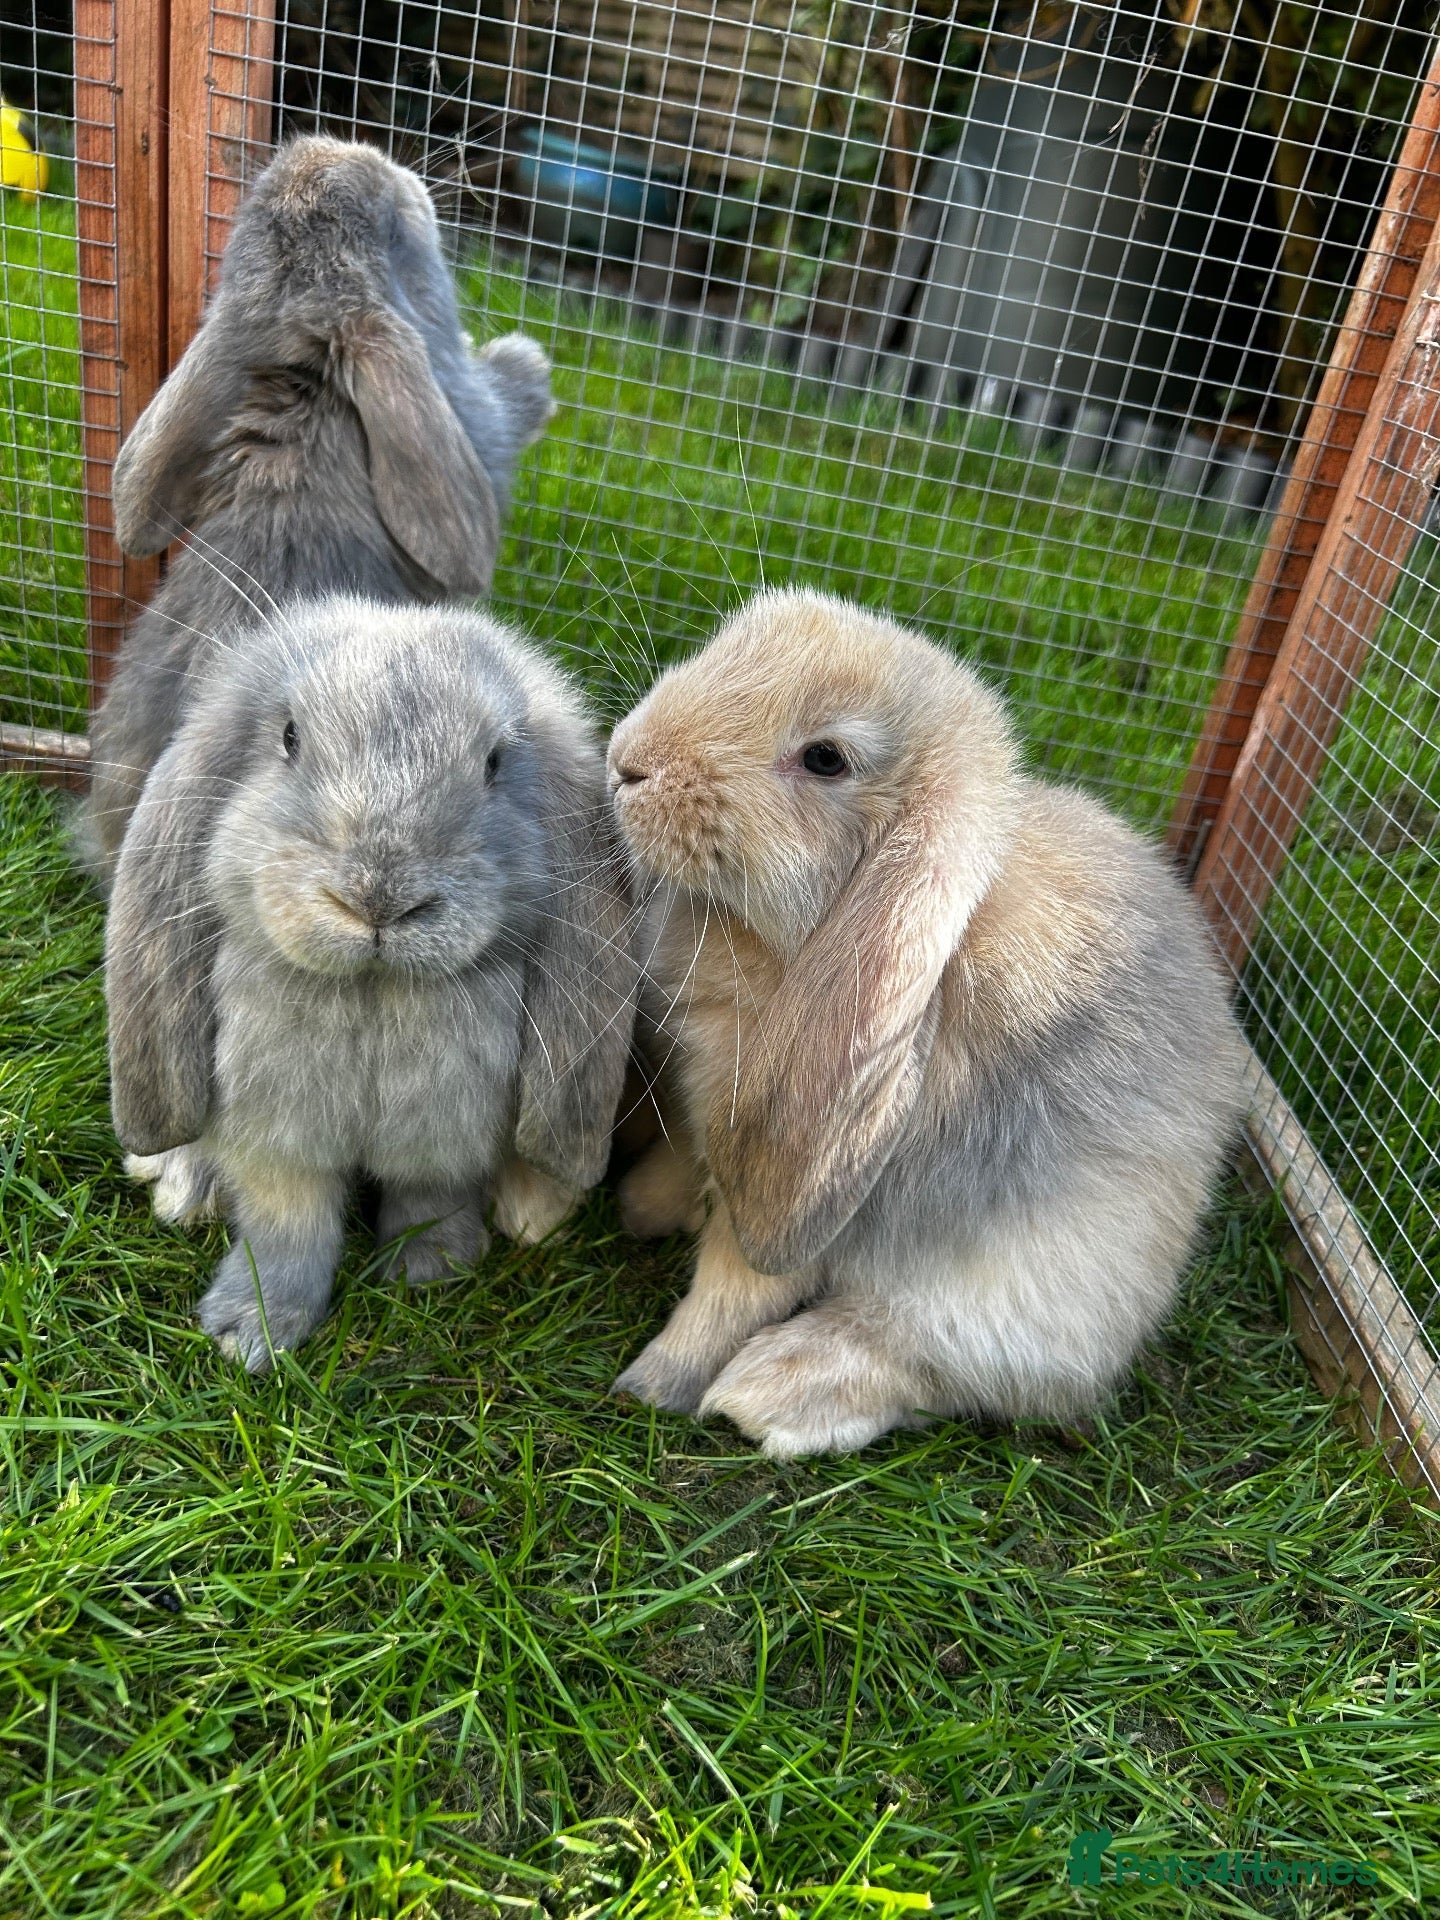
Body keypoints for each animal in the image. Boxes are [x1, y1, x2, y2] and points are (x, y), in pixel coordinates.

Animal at [104, 595, 637, 1372]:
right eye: (288, 737)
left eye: (494, 763)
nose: (379, 899)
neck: (372, 994)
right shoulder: (277, 1136)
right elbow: (287, 1222)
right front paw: (250, 1333)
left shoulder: (447, 1132)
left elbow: (430, 1198)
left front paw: (430, 1272)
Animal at [606, 589, 1245, 1458]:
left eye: (826, 760)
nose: (626, 761)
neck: (790, 949)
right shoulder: (698, 1105)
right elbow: (684, 1154)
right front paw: (642, 1207)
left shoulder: (793, 1196)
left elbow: (736, 1285)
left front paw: (652, 1383)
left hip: (1018, 1304)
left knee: (932, 1366)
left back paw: (774, 1391)